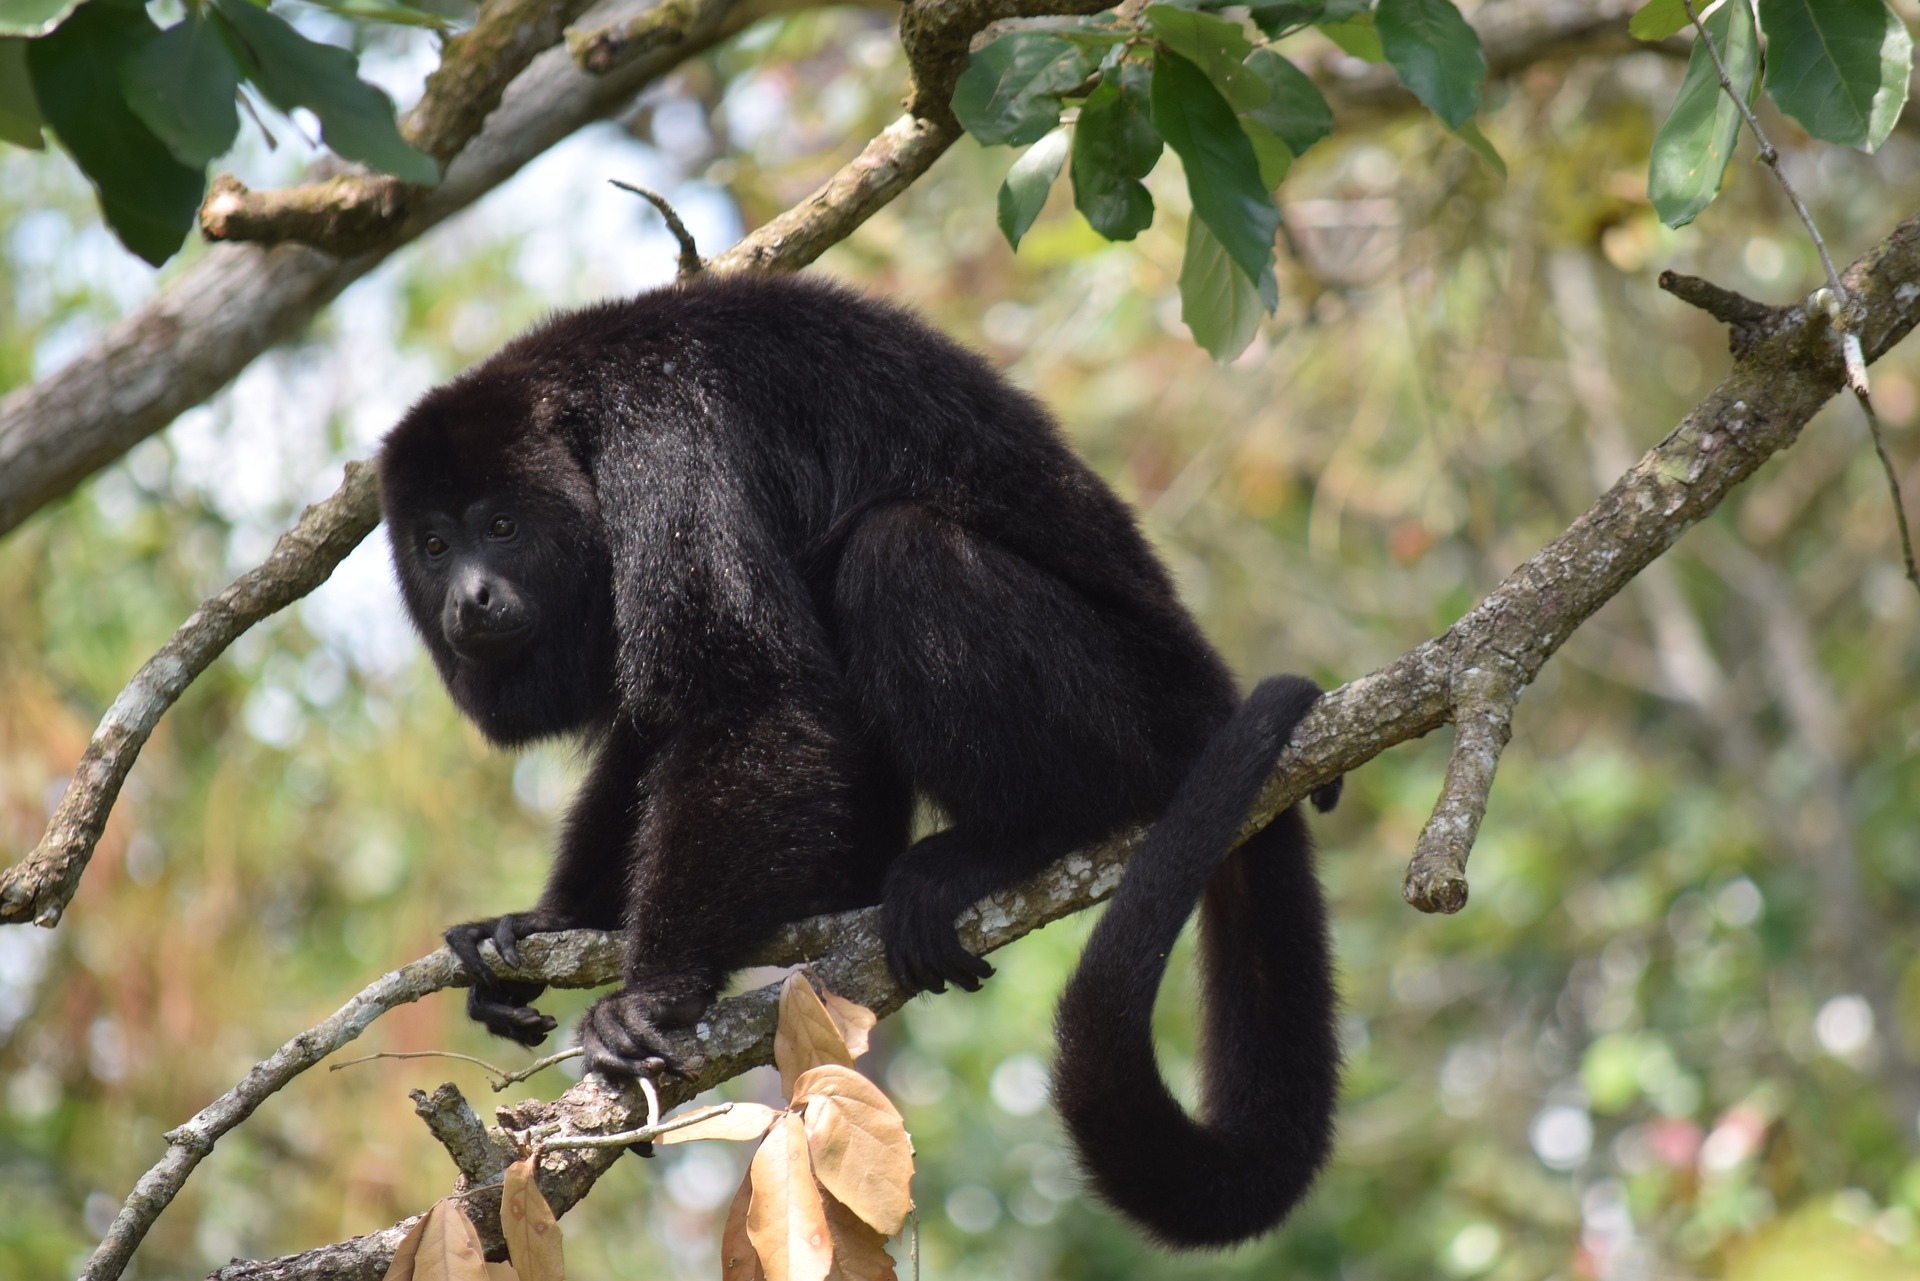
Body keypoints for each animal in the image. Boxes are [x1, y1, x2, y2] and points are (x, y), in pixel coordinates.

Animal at [370, 276, 1336, 1244]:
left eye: (501, 525)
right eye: (434, 544)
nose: (470, 595)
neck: (581, 422)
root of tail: (1208, 697)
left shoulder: (665, 449)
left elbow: (752, 699)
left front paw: (653, 995)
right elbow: (656, 728)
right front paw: (545, 922)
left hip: (1131, 712)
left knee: (895, 550)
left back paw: (1012, 841)